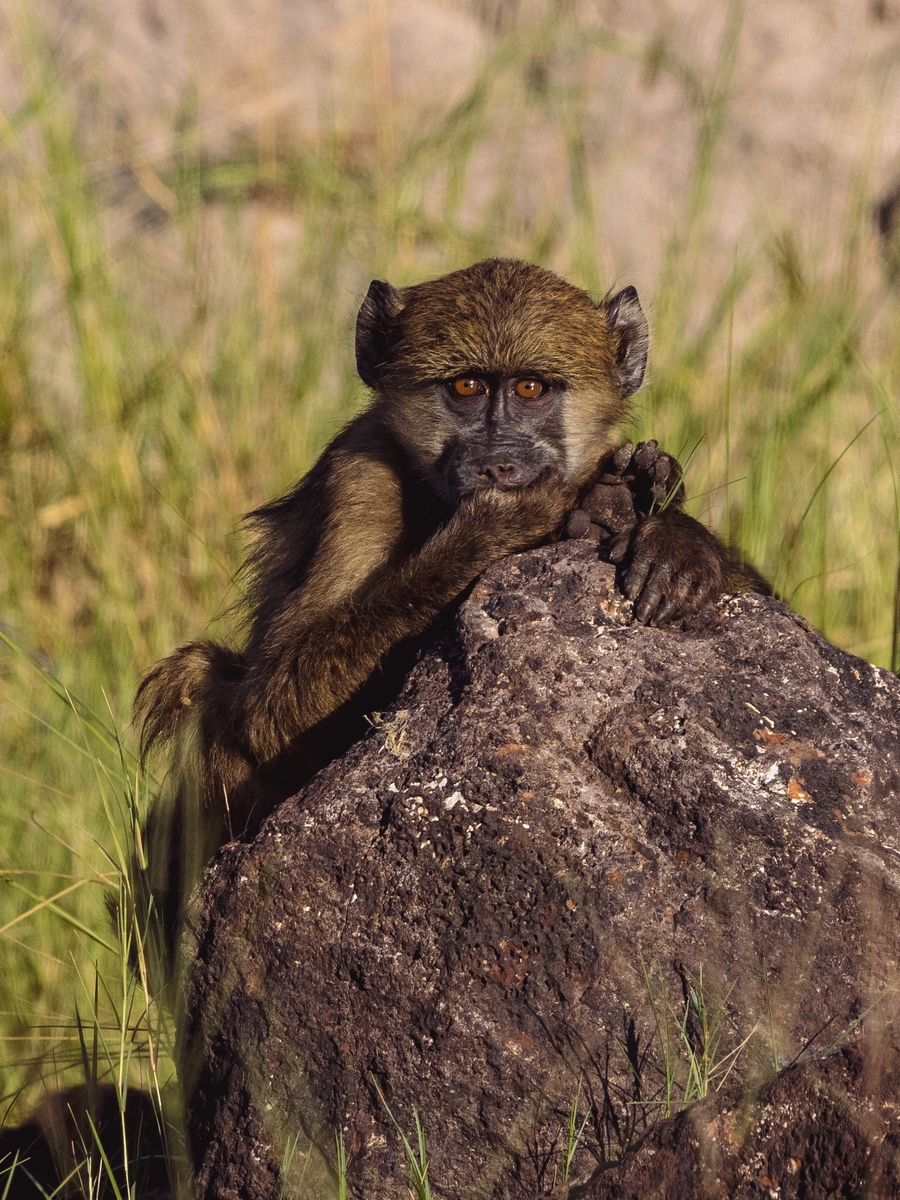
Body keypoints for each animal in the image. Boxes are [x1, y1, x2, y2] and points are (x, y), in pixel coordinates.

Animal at [135, 258, 768, 936]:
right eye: (466, 387)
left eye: (530, 389)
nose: (495, 466)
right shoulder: (359, 476)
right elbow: (263, 715)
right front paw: (510, 522)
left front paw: (669, 530)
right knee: (205, 682)